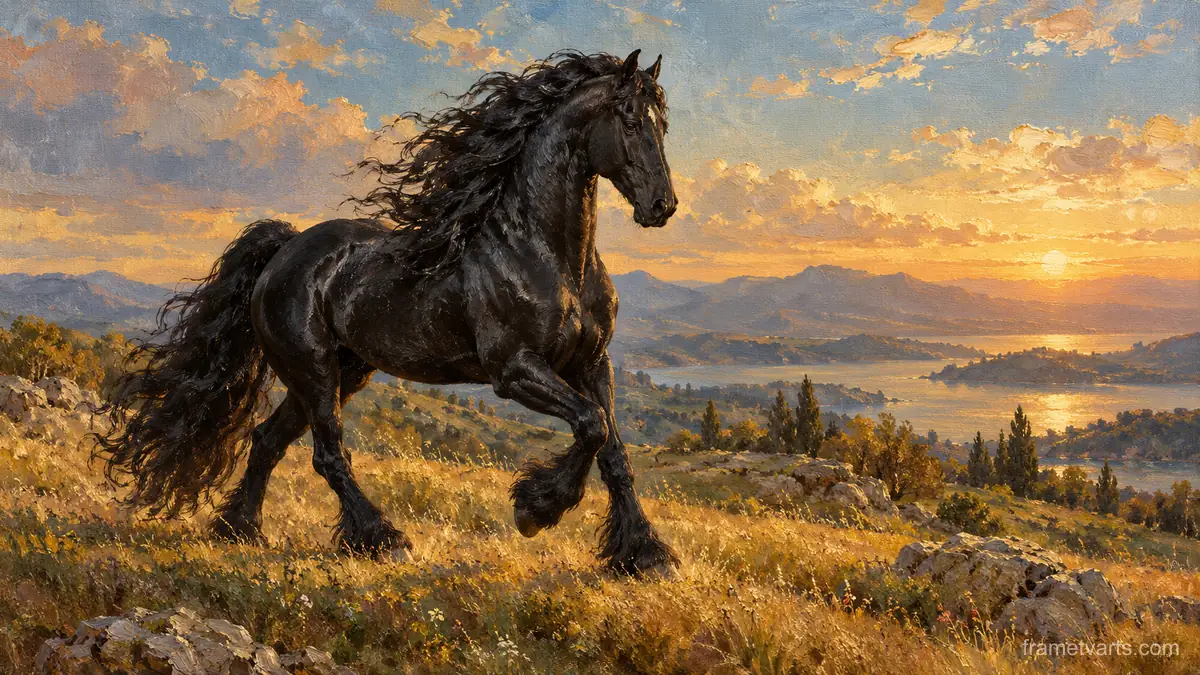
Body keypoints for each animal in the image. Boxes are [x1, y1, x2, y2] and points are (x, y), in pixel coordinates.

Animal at [94, 49, 680, 576]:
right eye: (630, 121)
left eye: (664, 125)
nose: (662, 206)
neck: (544, 254)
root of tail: (283, 251)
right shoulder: (513, 370)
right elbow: (591, 425)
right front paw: (535, 510)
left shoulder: (591, 364)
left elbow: (612, 450)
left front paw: (644, 556)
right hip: (313, 370)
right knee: (327, 453)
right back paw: (380, 538)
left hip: (340, 372)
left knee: (267, 441)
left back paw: (239, 530)